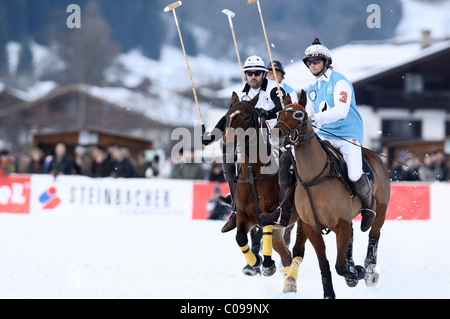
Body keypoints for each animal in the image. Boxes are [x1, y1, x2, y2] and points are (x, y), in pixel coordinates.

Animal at [223, 92, 304, 278]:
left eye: (246, 116)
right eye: (227, 116)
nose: (227, 141)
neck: (253, 173)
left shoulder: (271, 210)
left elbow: (265, 231)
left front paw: (267, 264)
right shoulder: (243, 213)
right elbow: (240, 237)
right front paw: (254, 263)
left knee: (285, 241)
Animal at [270, 92, 390, 300]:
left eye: (299, 115)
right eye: (280, 113)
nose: (275, 135)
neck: (312, 179)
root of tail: (375, 157)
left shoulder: (341, 223)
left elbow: (340, 266)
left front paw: (355, 273)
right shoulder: (311, 227)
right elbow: (324, 263)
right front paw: (330, 293)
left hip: (380, 210)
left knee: (374, 234)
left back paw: (369, 271)